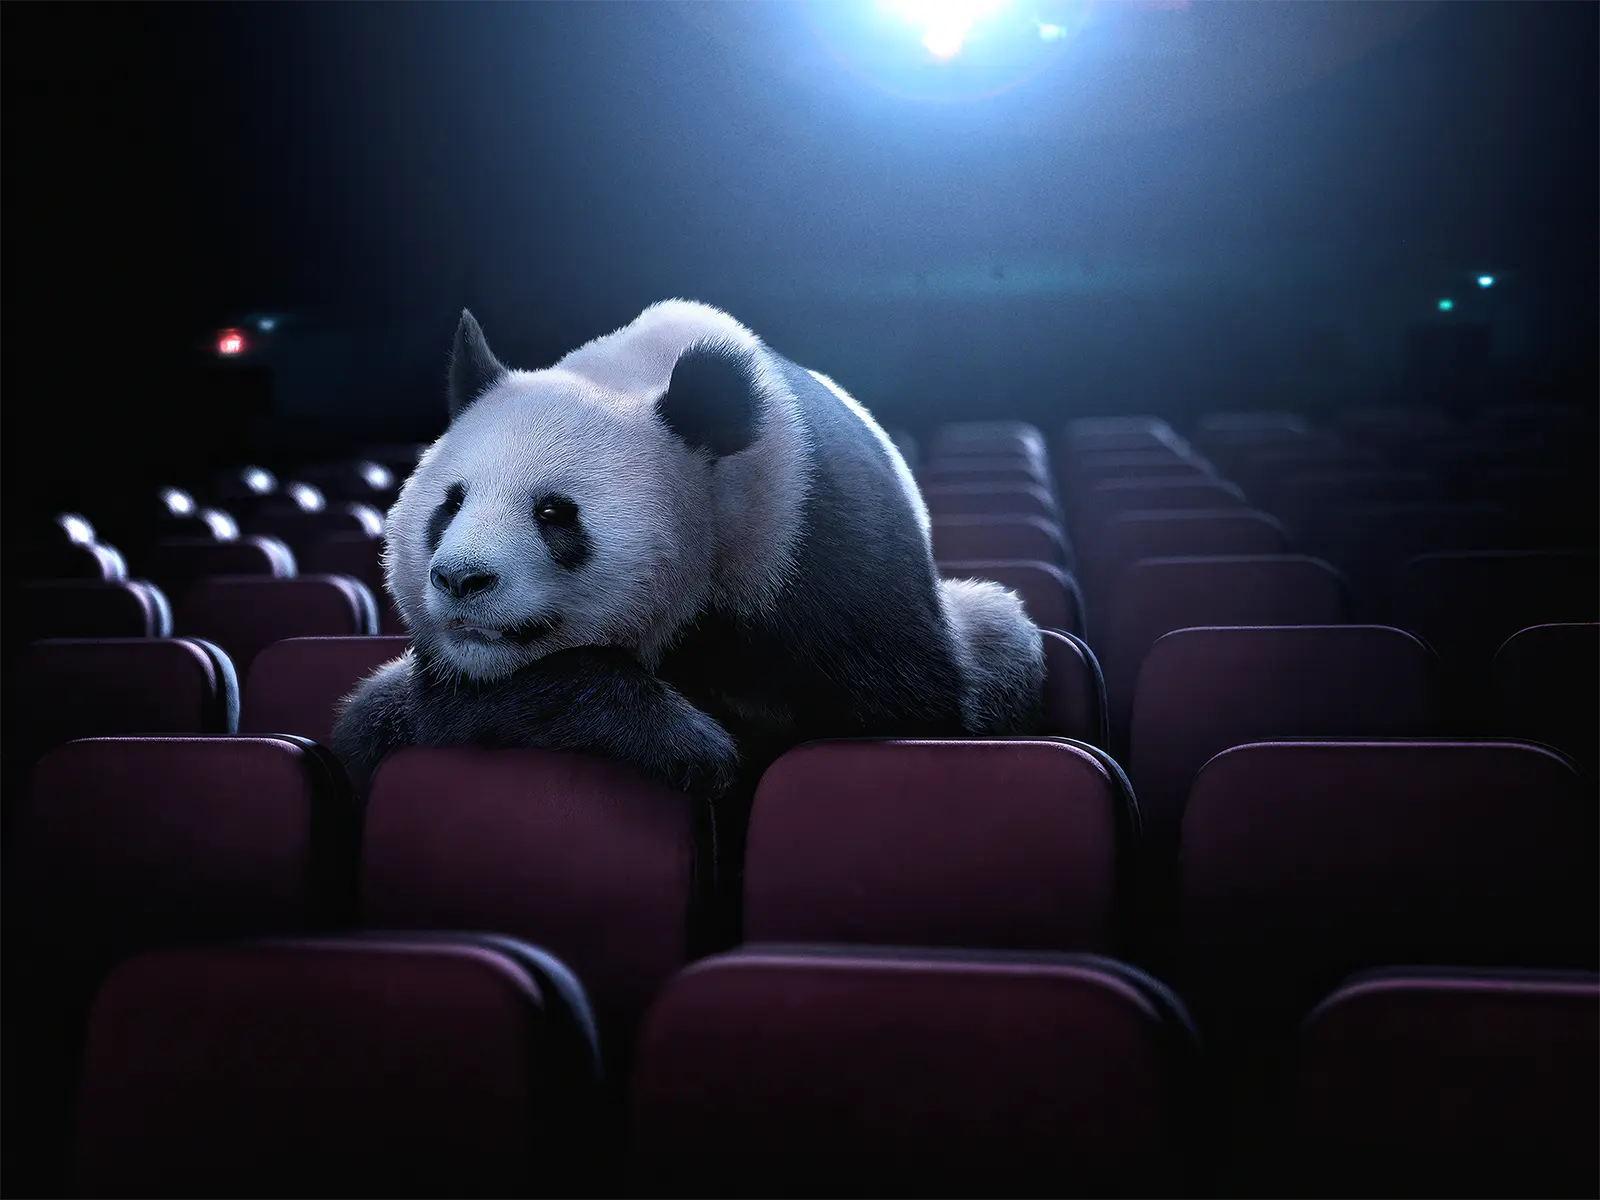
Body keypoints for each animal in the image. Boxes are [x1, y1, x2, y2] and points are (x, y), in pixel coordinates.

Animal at [331, 300, 1044, 799]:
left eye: (554, 512)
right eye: (450, 503)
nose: (460, 578)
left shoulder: (826, 558)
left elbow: (899, 710)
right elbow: (431, 713)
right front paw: (682, 741)